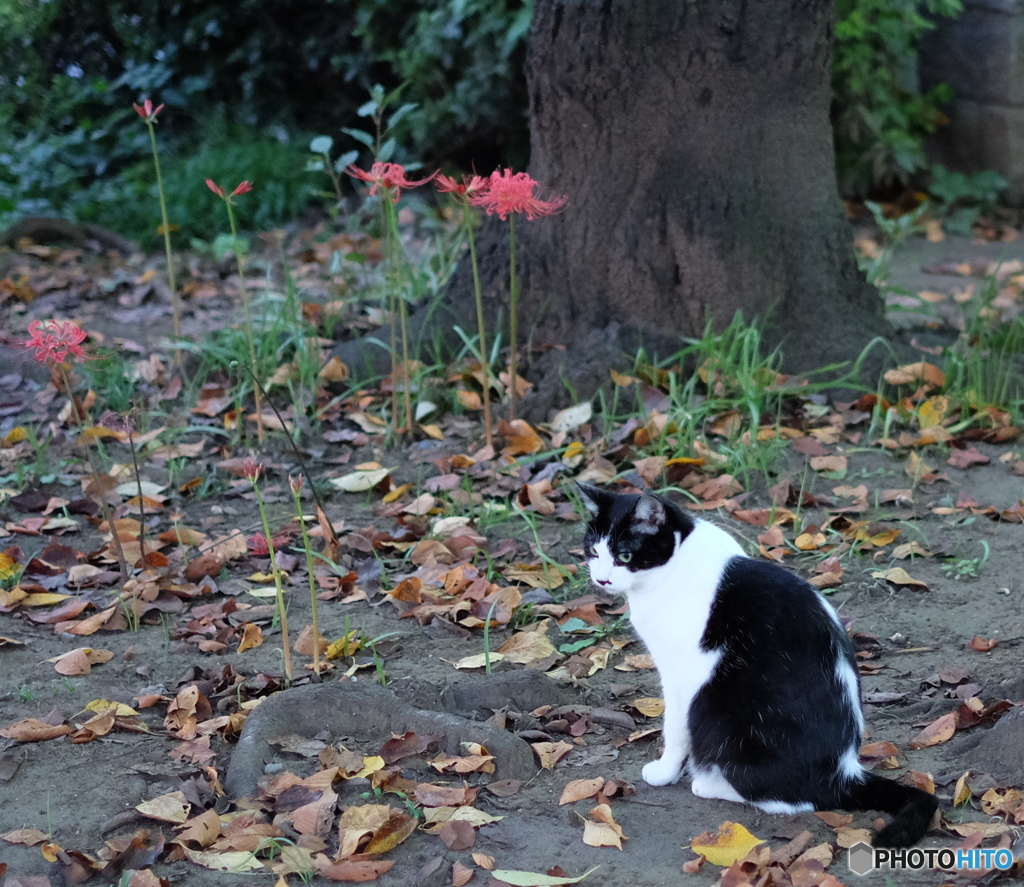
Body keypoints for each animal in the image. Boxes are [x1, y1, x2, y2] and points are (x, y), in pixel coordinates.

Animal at [577, 481, 937, 848]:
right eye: (593, 551)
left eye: (625, 556)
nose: (602, 580)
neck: (675, 567)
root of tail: (844, 772)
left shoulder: (681, 675)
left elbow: (674, 729)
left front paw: (665, 771)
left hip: (717, 710)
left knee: (795, 801)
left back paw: (707, 782)